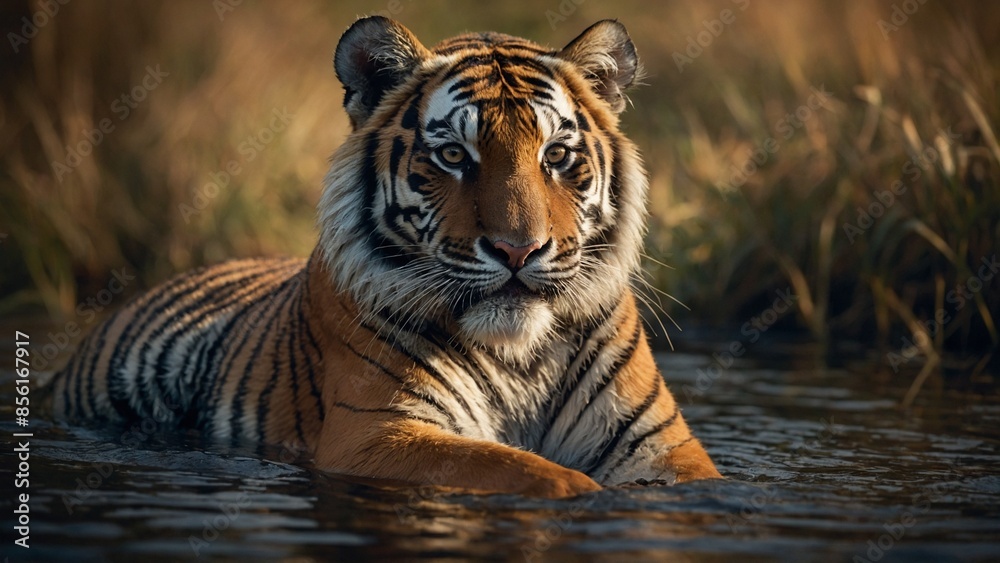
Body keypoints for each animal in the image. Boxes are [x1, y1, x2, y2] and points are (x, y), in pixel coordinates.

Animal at [52, 16, 722, 498]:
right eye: (453, 156)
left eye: (556, 155)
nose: (519, 249)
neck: (520, 358)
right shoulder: (377, 431)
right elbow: (537, 473)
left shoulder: (659, 443)